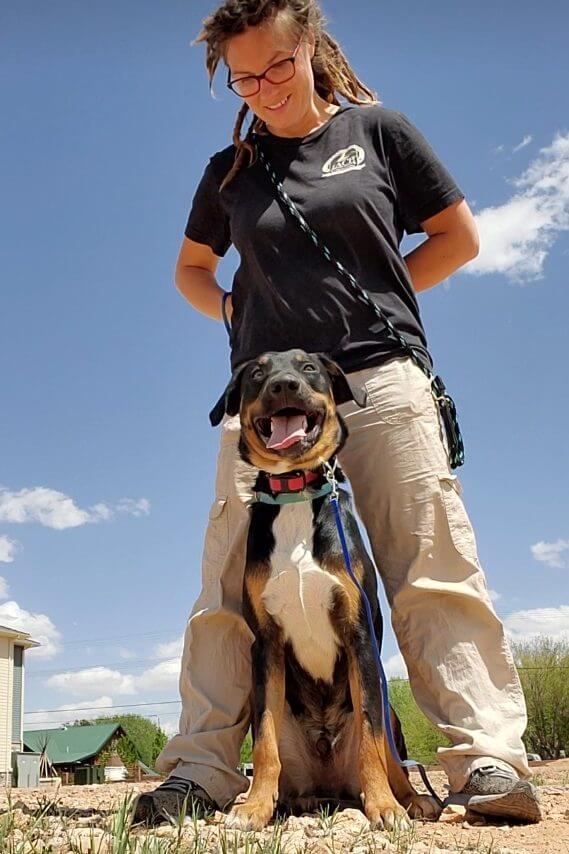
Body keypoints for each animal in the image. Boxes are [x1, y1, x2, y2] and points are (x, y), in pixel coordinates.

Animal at [211, 348, 438, 828]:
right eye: (257, 372)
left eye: (308, 367)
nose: (284, 385)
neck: (295, 491)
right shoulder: (266, 644)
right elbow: (264, 745)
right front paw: (254, 808)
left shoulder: (358, 635)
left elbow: (372, 738)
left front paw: (385, 806)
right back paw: (294, 801)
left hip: (392, 713)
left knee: (391, 756)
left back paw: (412, 799)